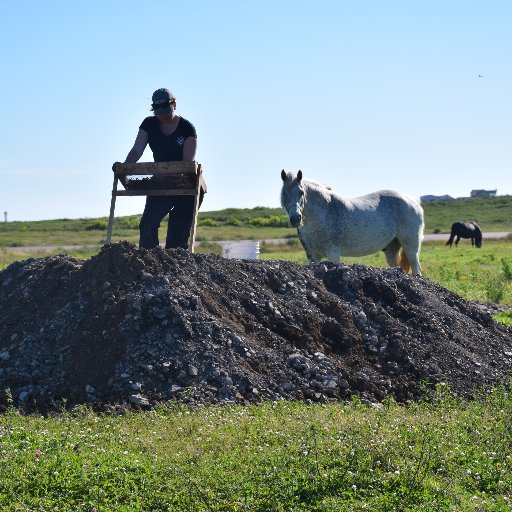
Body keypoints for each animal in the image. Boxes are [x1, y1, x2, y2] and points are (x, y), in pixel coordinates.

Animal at [280, 170, 424, 274]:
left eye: (301, 192)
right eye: (284, 194)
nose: (295, 219)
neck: (324, 210)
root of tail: (414, 203)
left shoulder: (333, 252)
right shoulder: (313, 256)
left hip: (411, 247)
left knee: (416, 267)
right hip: (391, 249)